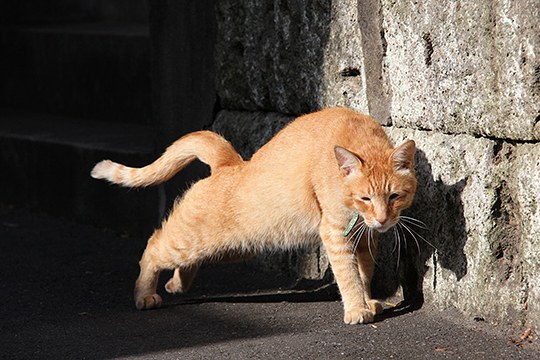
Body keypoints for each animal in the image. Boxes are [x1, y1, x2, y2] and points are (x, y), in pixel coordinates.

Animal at [90, 107, 416, 324]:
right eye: (365, 198)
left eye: (394, 197)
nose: (382, 220)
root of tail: (229, 163)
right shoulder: (336, 232)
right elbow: (348, 275)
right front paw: (357, 309)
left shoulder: (365, 239)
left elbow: (364, 272)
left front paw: (368, 301)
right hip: (194, 241)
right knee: (153, 246)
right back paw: (144, 294)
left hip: (231, 248)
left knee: (185, 261)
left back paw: (176, 285)